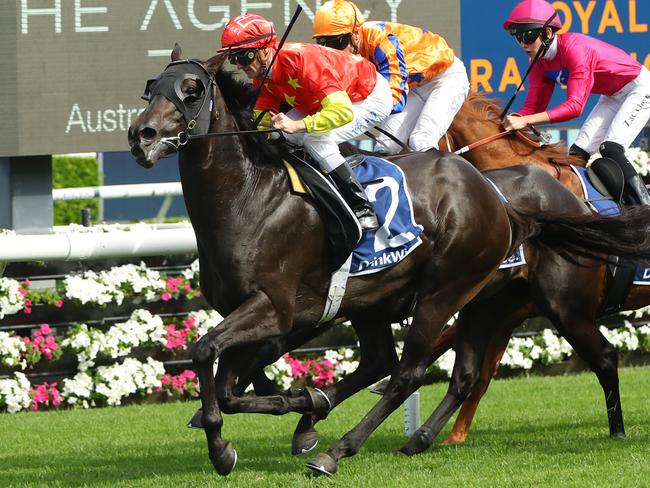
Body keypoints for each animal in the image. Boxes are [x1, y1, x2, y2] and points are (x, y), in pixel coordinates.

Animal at [129, 44, 648, 472]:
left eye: (192, 89)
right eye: (151, 87)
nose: (141, 134)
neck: (250, 199)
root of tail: (499, 200)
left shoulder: (274, 308)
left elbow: (206, 352)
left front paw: (226, 448)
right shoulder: (274, 312)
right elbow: (231, 386)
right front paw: (297, 406)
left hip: (463, 291)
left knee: (410, 372)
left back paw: (338, 451)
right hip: (445, 301)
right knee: (432, 369)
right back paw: (407, 437)